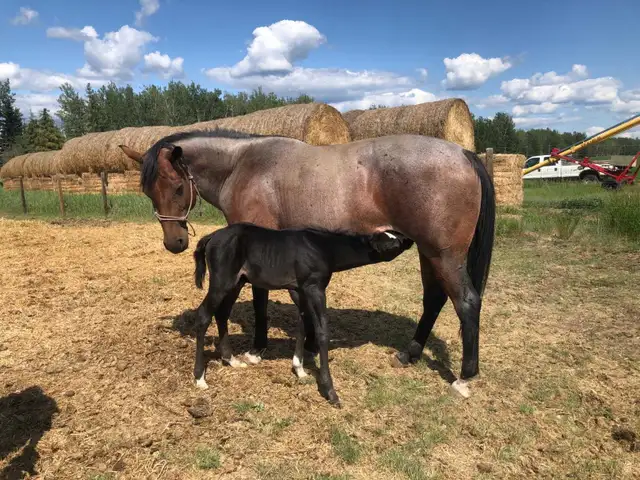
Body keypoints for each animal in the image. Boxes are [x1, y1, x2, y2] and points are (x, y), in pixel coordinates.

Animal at [191, 222, 414, 406]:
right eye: (392, 243)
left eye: (395, 235)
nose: (409, 239)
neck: (324, 248)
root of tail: (211, 237)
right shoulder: (315, 288)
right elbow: (322, 331)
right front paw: (330, 391)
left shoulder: (300, 290)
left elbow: (303, 324)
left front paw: (299, 369)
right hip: (221, 282)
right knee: (203, 316)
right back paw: (199, 378)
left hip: (237, 282)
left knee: (222, 313)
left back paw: (231, 360)